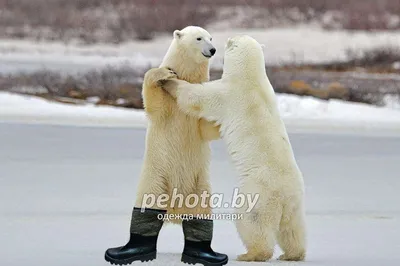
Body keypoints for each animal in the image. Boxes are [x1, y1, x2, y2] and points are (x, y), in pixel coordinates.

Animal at [155, 34, 306, 262]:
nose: (216, 47)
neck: (251, 77)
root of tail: (284, 195)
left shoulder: (228, 93)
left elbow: (195, 98)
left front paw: (169, 80)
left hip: (257, 193)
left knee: (252, 221)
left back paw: (251, 254)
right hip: (295, 202)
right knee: (292, 228)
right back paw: (292, 254)